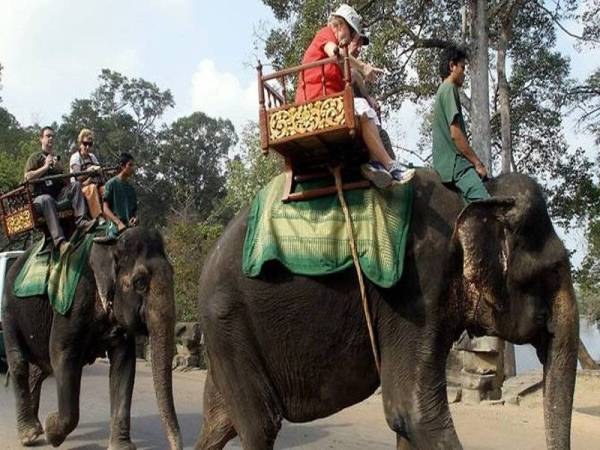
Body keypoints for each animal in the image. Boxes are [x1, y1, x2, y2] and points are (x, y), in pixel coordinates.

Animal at [1, 229, 183, 450]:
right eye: (140, 282)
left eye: (173, 274)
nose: (177, 446)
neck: (111, 245)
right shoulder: (72, 304)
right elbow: (62, 355)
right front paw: (52, 431)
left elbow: (124, 364)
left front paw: (121, 447)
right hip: (8, 310)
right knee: (20, 363)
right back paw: (29, 434)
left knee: (41, 368)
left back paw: (36, 429)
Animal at [195, 170, 580, 450]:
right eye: (552, 272)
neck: (484, 192)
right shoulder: (417, 288)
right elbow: (411, 411)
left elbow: (405, 420)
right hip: (228, 321)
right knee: (260, 425)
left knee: (219, 423)